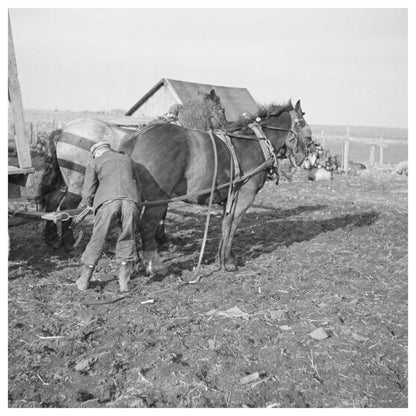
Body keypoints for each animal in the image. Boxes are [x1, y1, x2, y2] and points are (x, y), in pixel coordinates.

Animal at [38, 89, 228, 249]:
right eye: (222, 110)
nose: (226, 128)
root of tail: (64, 130)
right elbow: (162, 213)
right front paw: (162, 239)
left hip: (64, 182)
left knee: (53, 202)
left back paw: (52, 239)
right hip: (78, 184)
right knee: (66, 206)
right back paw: (68, 241)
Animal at [117, 98, 316, 272]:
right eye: (305, 126)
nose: (306, 155)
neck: (256, 144)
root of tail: (136, 137)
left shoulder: (229, 197)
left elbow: (225, 224)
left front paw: (222, 258)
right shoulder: (245, 195)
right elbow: (233, 224)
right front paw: (228, 262)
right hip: (158, 199)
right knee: (146, 226)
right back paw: (156, 266)